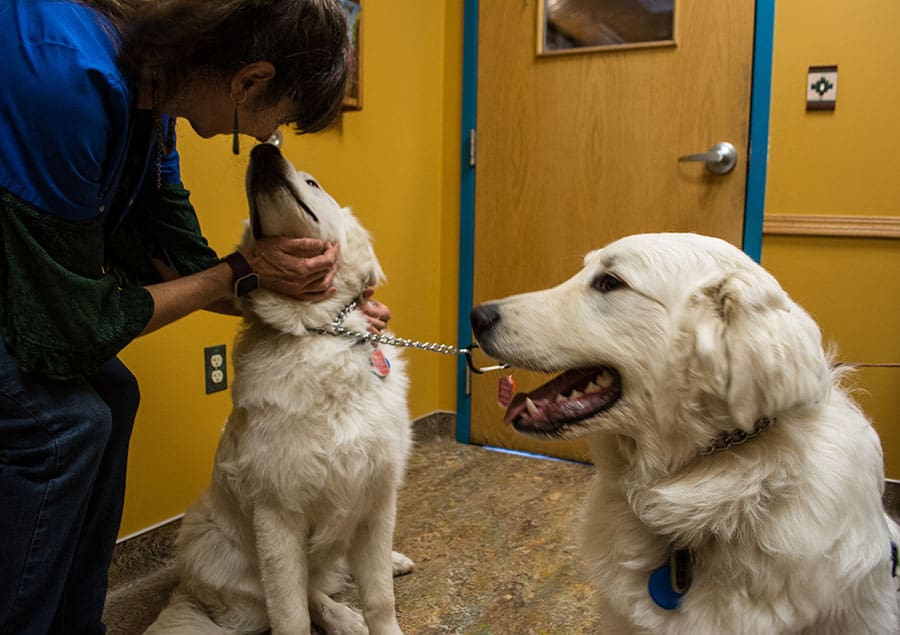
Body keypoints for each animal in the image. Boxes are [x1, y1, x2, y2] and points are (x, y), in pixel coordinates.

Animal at [146, 144, 414, 635]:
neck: (322, 332)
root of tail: (189, 592)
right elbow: (291, 611)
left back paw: (391, 562)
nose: (263, 150)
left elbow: (380, 598)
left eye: (313, 183)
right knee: (306, 592)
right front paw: (345, 616)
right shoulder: (278, 517)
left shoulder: (378, 496)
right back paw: (344, 617)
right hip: (209, 539)